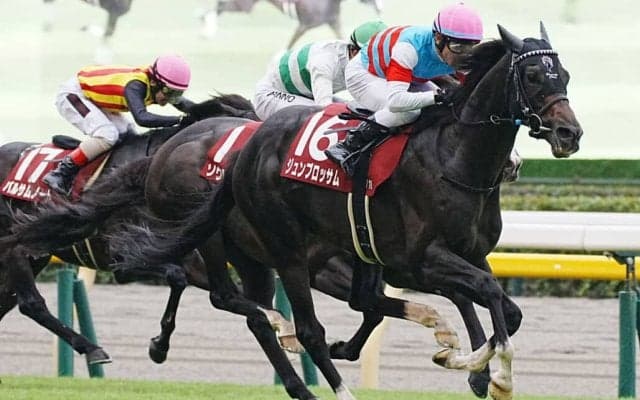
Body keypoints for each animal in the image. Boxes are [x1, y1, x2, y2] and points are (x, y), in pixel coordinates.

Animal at [0, 94, 256, 365]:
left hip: (37, 254)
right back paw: (92, 348)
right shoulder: (121, 260)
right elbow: (176, 277)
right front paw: (159, 346)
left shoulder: (188, 258)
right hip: (14, 247)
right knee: (31, 303)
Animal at [105, 23, 582, 399]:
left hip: (263, 254)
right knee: (290, 321)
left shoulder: (466, 253)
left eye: (565, 75)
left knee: (266, 313)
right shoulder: (421, 259)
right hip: (277, 251)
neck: (454, 157)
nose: (569, 133)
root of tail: (244, 151)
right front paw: (492, 375)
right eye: (533, 74)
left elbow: (503, 308)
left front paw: (466, 361)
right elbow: (482, 295)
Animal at [208, 0, 382, 48]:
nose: (380, 8)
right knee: (218, 7)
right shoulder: (304, 26)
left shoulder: (333, 22)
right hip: (243, 6)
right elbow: (287, 48)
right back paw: (206, 29)